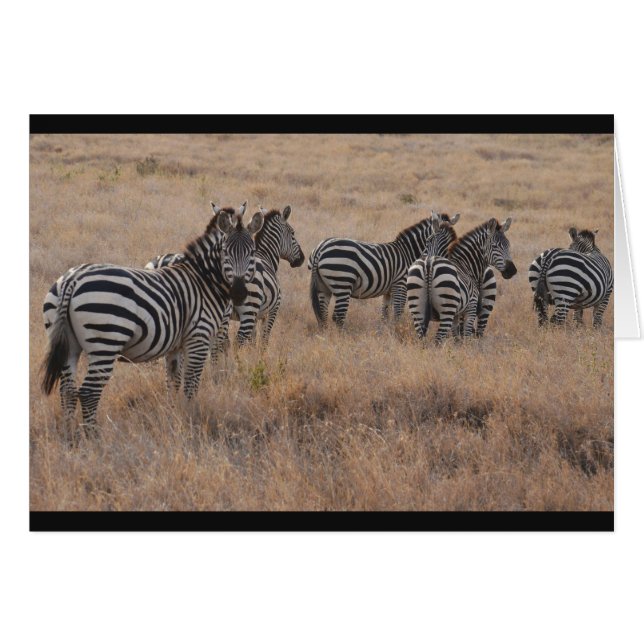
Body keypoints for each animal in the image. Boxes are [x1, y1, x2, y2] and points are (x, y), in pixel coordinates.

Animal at [41, 208, 263, 430]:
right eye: (225, 252)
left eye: (252, 252)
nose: (238, 293)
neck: (204, 281)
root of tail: (71, 279)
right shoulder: (198, 338)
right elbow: (191, 385)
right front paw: (190, 418)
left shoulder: (176, 346)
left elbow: (173, 382)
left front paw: (174, 415)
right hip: (105, 341)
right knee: (88, 392)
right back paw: (92, 435)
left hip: (69, 344)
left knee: (67, 390)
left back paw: (70, 433)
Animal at [214, 205, 305, 352]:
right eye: (292, 233)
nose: (302, 259)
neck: (265, 255)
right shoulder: (271, 312)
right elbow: (264, 341)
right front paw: (261, 357)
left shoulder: (256, 317)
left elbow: (252, 341)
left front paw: (251, 354)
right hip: (249, 311)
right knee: (238, 341)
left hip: (225, 315)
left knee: (222, 343)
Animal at [308, 212, 459, 329]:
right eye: (428, 241)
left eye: (451, 243)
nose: (435, 260)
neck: (407, 252)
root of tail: (320, 249)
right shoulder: (400, 285)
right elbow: (398, 313)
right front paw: (397, 331)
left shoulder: (389, 291)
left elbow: (385, 315)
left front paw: (386, 332)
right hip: (342, 283)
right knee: (338, 316)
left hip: (323, 287)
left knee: (322, 314)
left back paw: (326, 334)